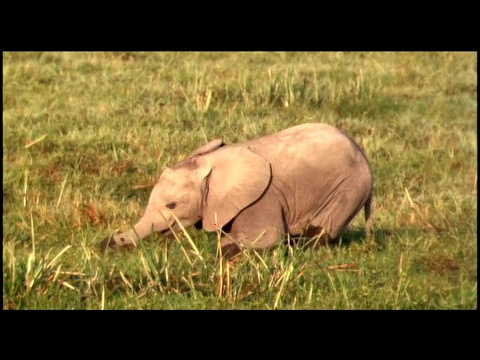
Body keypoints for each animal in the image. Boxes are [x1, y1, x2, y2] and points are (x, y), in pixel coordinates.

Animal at [103, 122, 374, 258]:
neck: (210, 164)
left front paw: (223, 251)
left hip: (348, 189)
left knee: (321, 232)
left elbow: (267, 236)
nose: (109, 242)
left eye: (172, 205)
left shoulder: (263, 197)